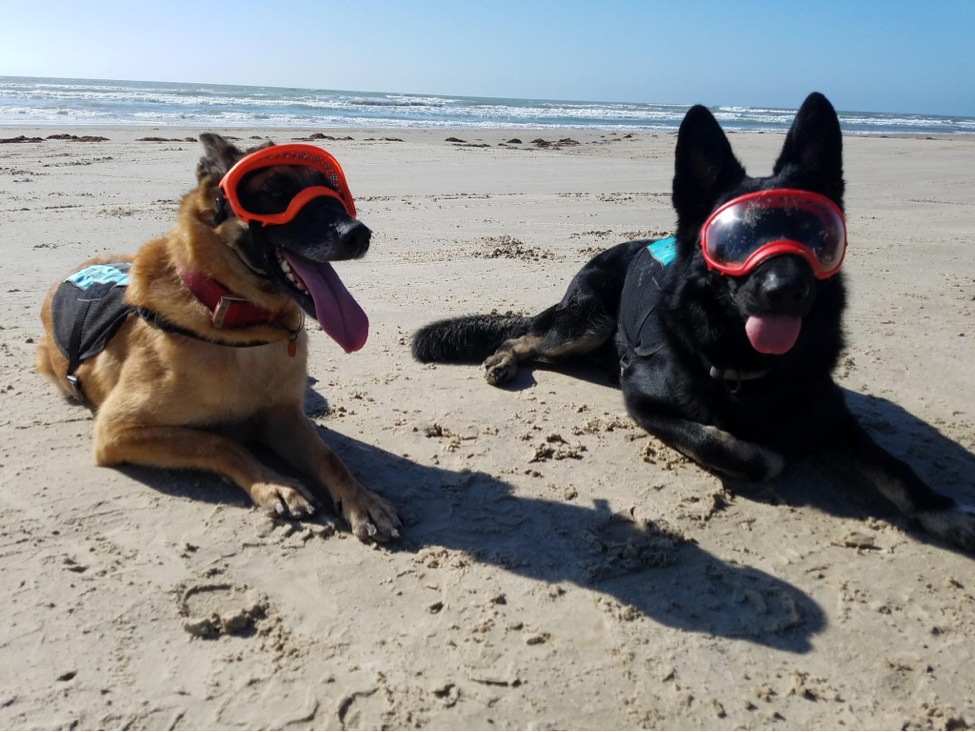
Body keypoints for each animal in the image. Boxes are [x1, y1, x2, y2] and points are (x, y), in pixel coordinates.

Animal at [34, 133, 400, 544]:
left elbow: (329, 456)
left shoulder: (283, 417)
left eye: (335, 193)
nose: (358, 234)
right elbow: (220, 441)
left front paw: (362, 500)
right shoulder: (117, 431)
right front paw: (275, 485)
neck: (236, 319)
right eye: (274, 192)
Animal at [412, 93, 975, 548]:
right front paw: (769, 449)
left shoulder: (834, 414)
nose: (787, 289)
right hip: (590, 320)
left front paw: (944, 511)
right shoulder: (642, 399)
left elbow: (893, 465)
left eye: (816, 234)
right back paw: (502, 360)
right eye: (733, 240)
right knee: (527, 337)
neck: (751, 368)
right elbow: (737, 446)